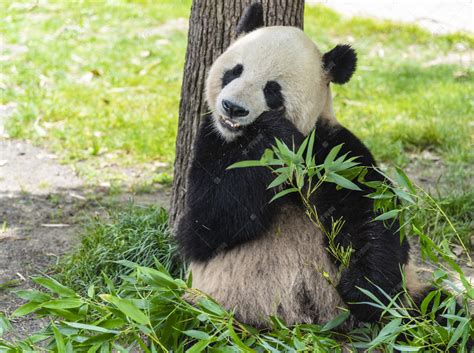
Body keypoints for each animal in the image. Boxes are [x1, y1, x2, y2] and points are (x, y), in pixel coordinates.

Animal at [175, 2, 430, 328]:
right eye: (234, 71)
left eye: (272, 90)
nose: (233, 108)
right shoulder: (211, 140)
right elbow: (204, 226)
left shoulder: (333, 151)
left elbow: (372, 214)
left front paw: (364, 290)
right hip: (215, 309)